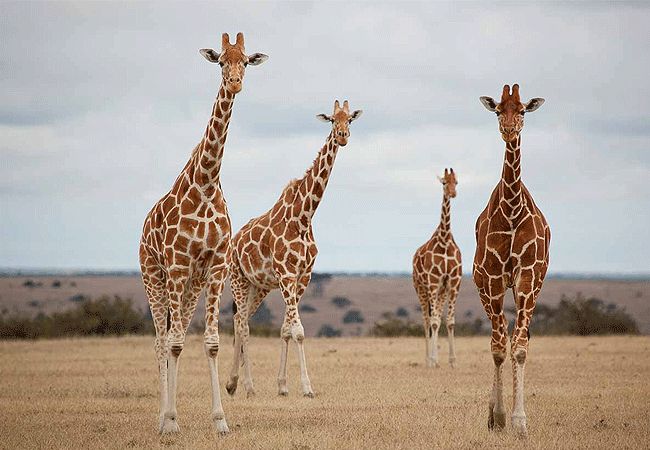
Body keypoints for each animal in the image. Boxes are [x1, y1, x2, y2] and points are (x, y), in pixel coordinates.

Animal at [138, 32, 267, 435]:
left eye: (246, 61)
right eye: (221, 62)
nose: (236, 83)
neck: (207, 182)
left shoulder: (215, 266)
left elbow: (209, 342)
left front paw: (220, 420)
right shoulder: (179, 264)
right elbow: (176, 343)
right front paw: (170, 421)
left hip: (190, 286)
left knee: (172, 337)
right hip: (155, 276)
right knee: (161, 341)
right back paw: (162, 417)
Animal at [225, 100, 363, 398]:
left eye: (350, 119)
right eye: (332, 119)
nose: (343, 136)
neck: (303, 216)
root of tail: (233, 242)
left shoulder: (303, 277)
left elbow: (286, 329)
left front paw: (283, 385)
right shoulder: (287, 274)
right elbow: (298, 330)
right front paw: (307, 387)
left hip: (259, 286)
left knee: (240, 320)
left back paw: (232, 384)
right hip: (238, 278)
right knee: (243, 325)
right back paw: (247, 387)